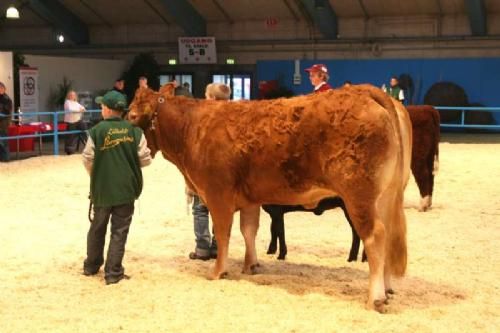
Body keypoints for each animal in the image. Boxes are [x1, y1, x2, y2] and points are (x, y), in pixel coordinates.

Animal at [128, 83, 410, 312]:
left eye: (132, 112)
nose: (137, 150)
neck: (191, 129)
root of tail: (366, 91)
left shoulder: (218, 194)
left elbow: (223, 233)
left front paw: (218, 271)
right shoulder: (250, 199)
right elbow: (248, 230)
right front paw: (251, 265)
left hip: (359, 196)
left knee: (375, 236)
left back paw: (375, 298)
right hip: (385, 197)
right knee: (389, 235)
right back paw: (388, 289)